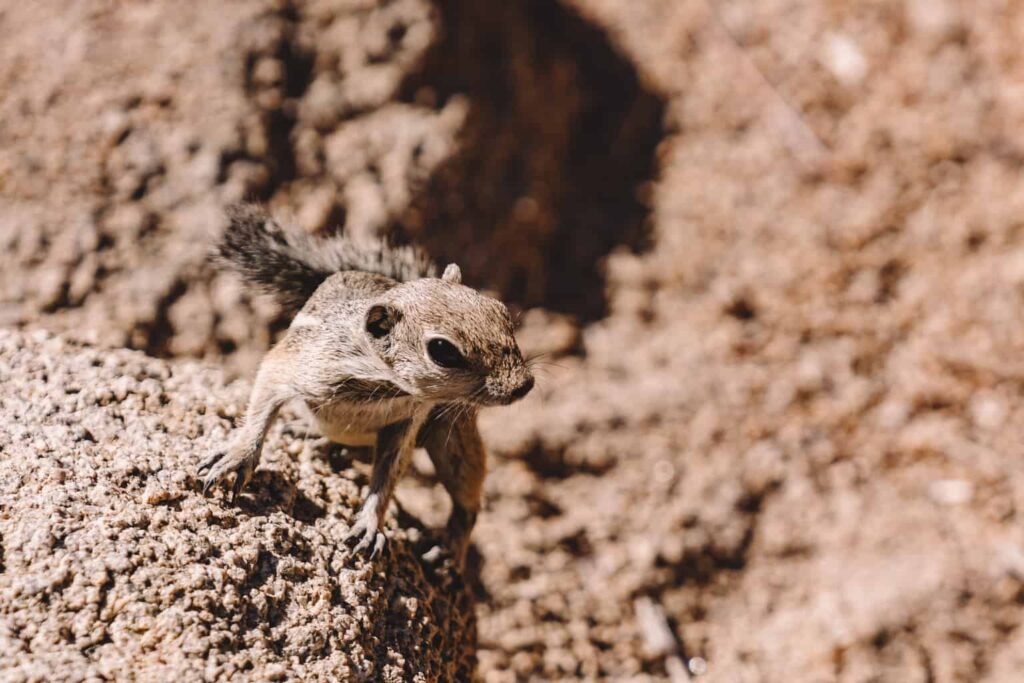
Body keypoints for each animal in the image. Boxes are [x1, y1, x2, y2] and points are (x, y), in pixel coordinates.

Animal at [199, 202, 536, 565]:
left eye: (500, 310)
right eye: (443, 350)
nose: (523, 384)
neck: (382, 383)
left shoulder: (407, 423)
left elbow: (388, 473)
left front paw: (370, 525)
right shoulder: (293, 363)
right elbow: (263, 398)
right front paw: (238, 454)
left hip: (453, 435)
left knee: (467, 500)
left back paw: (449, 549)